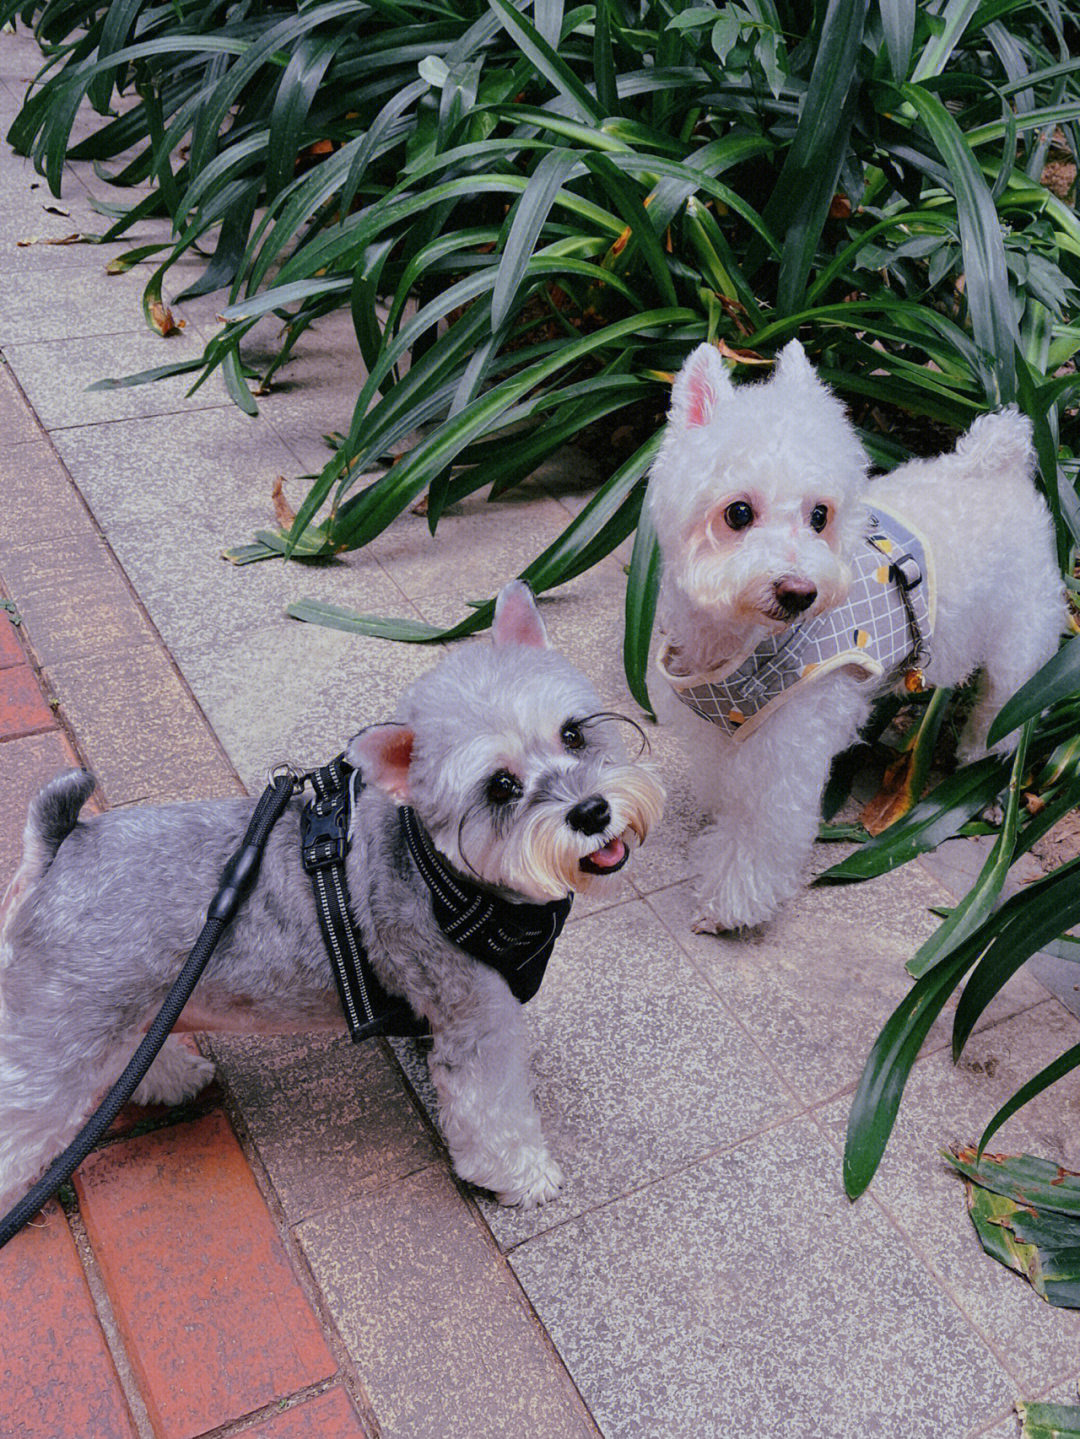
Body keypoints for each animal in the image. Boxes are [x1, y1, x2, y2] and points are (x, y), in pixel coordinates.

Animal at [0, 578, 664, 1208]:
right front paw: (524, 1177)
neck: (444, 875)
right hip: (58, 1044)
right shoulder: (478, 1022)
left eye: (572, 734)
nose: (592, 811)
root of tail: (61, 846)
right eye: (500, 787)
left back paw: (173, 1077)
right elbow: (494, 1112)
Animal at [650, 343, 1064, 938]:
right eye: (738, 513)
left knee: (999, 715)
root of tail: (995, 460)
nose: (800, 592)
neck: (740, 641)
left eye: (820, 515)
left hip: (1021, 644)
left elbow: (760, 833)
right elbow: (726, 788)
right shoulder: (718, 732)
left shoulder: (788, 748)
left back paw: (985, 778)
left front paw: (729, 905)